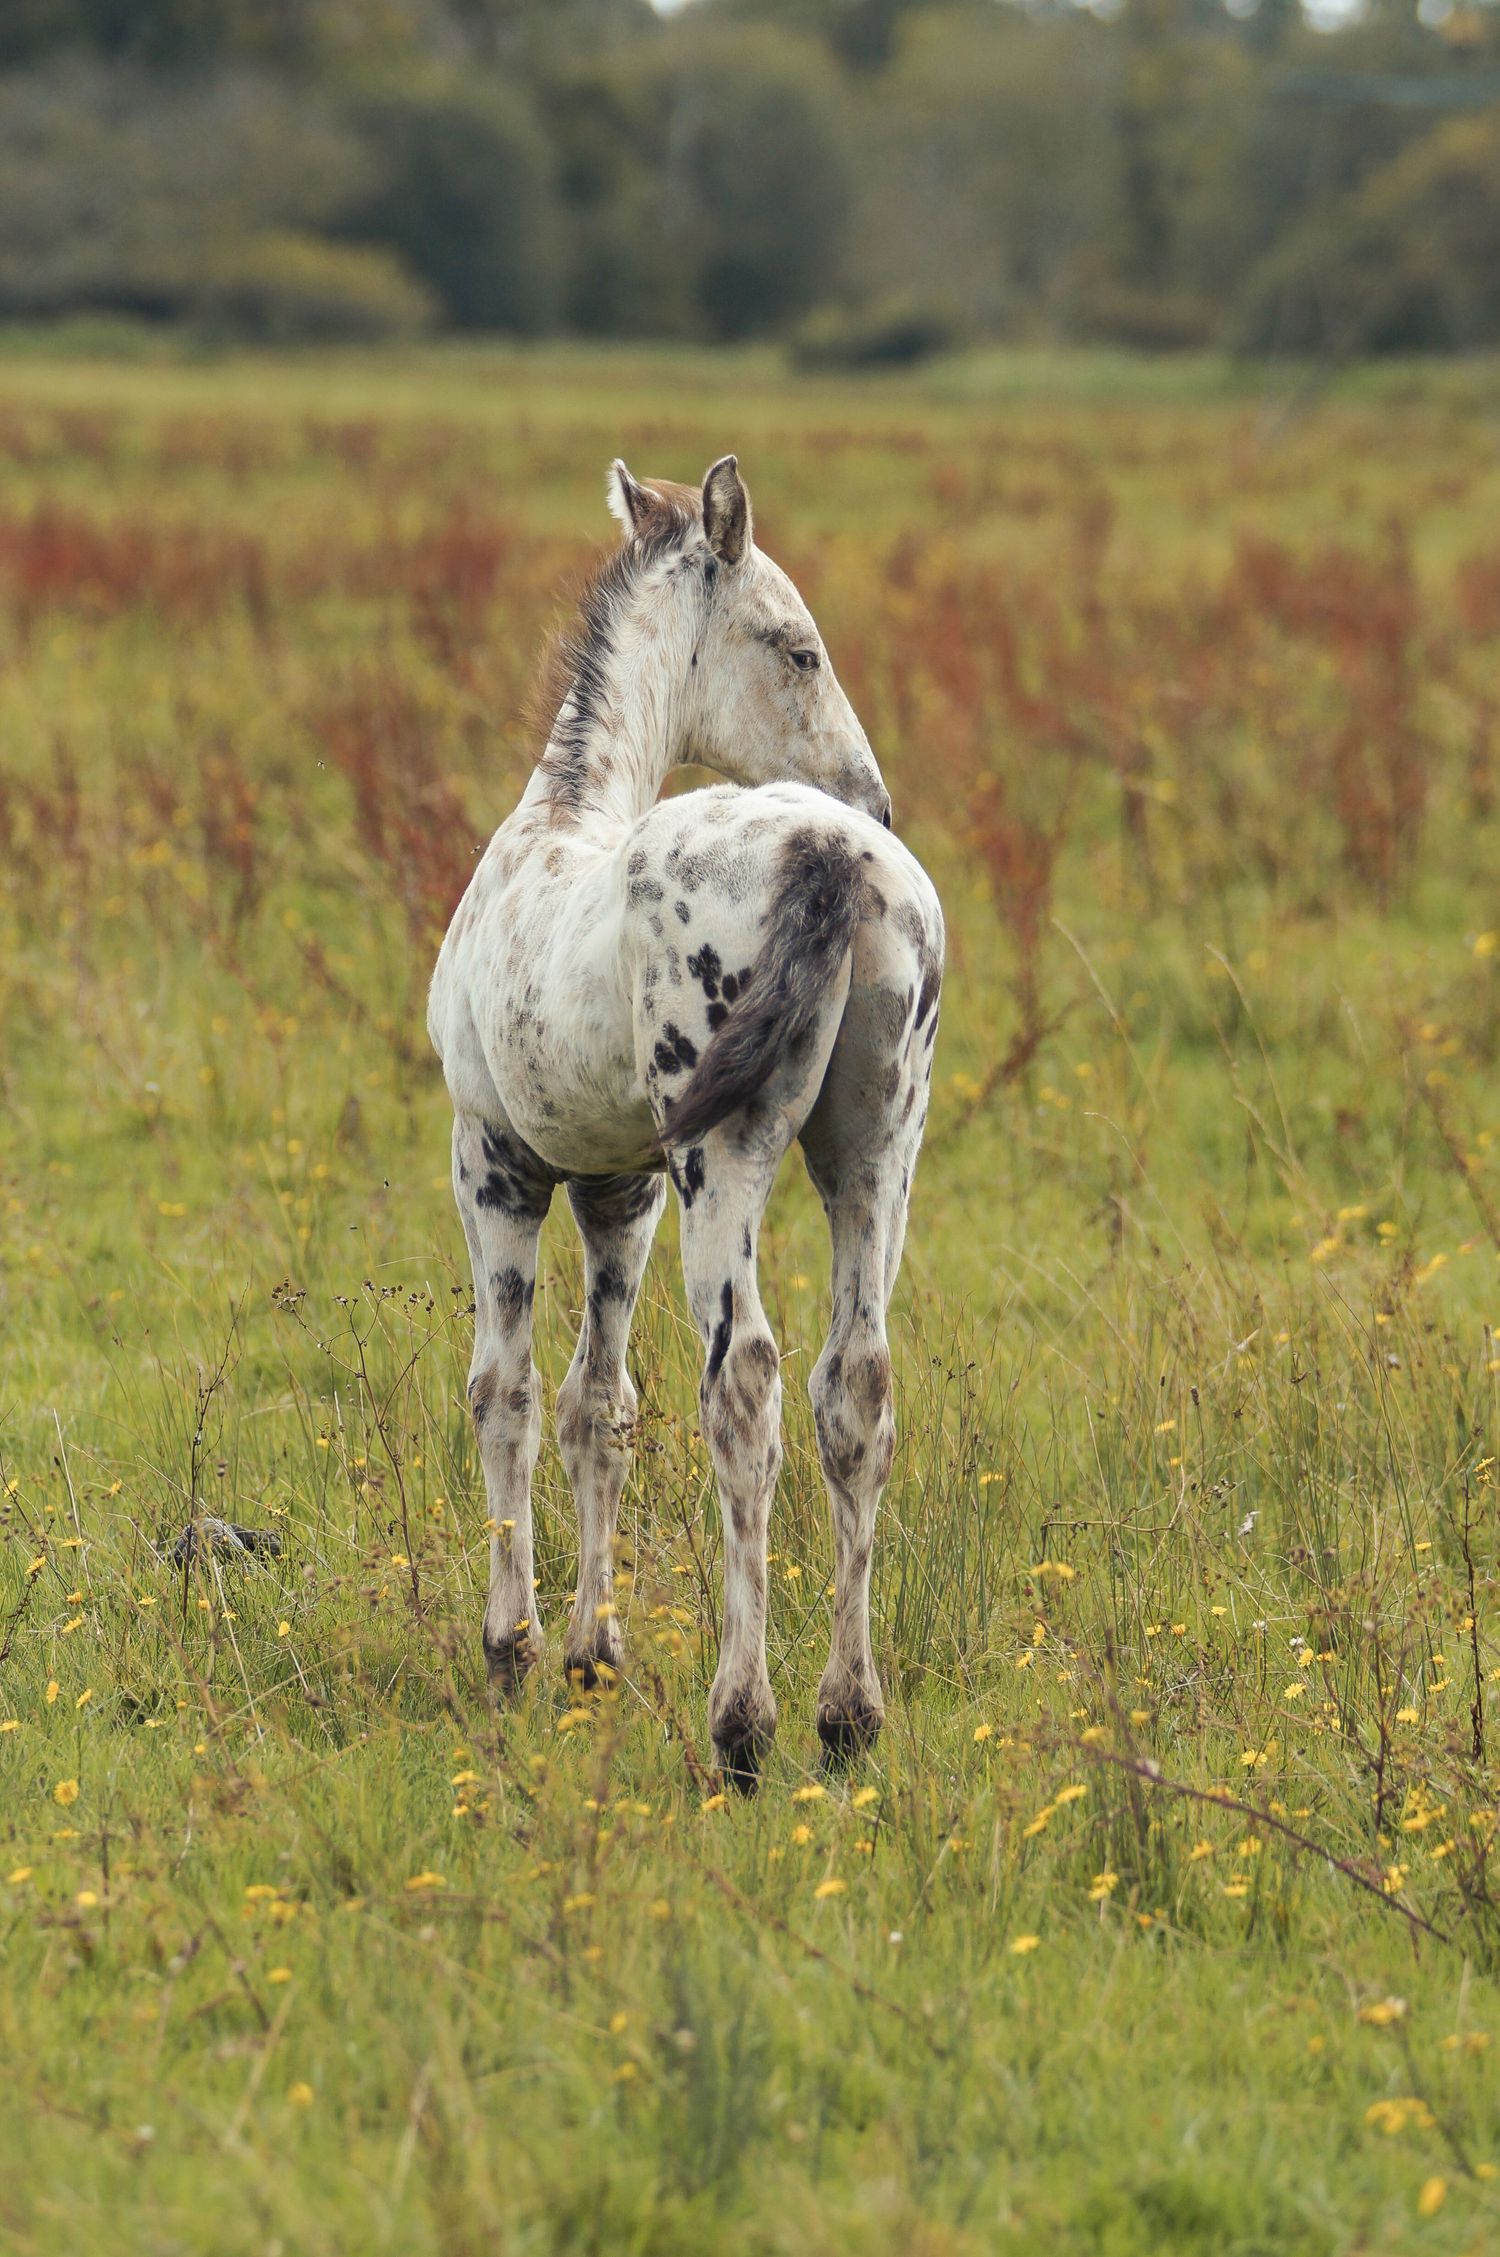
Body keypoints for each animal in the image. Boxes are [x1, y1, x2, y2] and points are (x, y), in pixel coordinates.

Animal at [428, 454, 943, 1785]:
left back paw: (744, 1722)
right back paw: (847, 1715)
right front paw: (589, 1655)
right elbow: (597, 1405)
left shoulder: (494, 1163)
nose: (877, 794)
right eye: (801, 649)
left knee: (747, 1381)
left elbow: (505, 1389)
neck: (558, 820)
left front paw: (512, 1650)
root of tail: (830, 856)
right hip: (876, 1151)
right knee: (854, 1382)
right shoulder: (625, 1187)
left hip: (729, 1157)